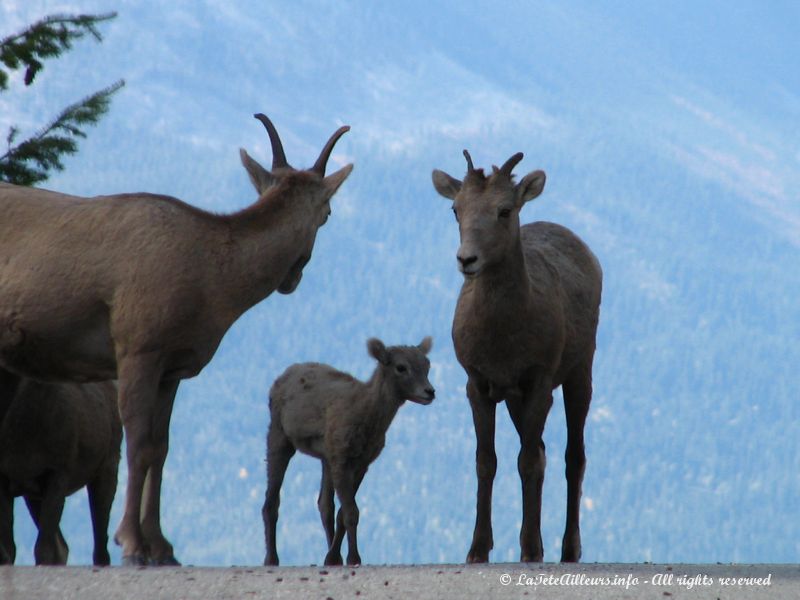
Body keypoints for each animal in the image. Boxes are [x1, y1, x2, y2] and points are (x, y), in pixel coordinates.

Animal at [0, 370, 122, 568]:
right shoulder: (6, 480)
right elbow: (9, 550)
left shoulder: (58, 475)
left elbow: (44, 549)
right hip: (33, 496)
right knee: (63, 547)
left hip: (106, 471)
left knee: (100, 544)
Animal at [266, 338, 434, 568]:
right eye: (401, 367)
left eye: (427, 365)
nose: (430, 392)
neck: (367, 418)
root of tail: (278, 381)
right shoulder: (341, 459)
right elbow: (351, 512)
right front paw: (354, 558)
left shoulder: (361, 463)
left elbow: (342, 513)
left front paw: (333, 558)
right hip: (279, 436)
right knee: (272, 500)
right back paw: (271, 559)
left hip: (324, 458)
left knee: (324, 505)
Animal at [432, 150, 600, 564]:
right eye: (456, 209)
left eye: (504, 210)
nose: (467, 259)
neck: (503, 339)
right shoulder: (480, 385)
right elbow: (487, 462)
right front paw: (478, 550)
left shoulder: (540, 384)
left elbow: (526, 462)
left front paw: (529, 550)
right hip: (513, 400)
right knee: (542, 452)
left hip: (579, 373)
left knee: (573, 457)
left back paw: (567, 549)